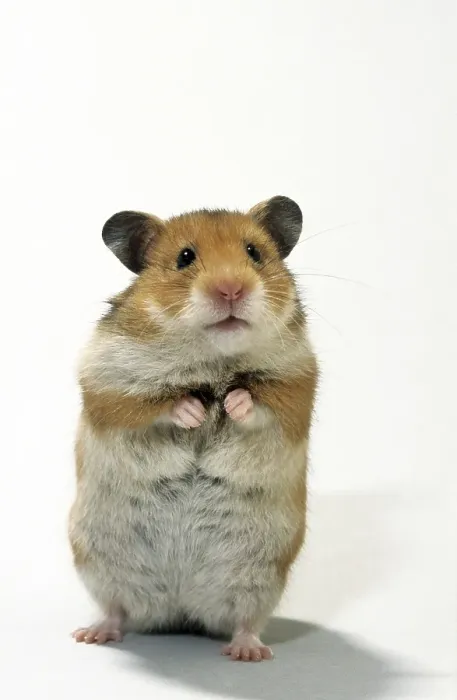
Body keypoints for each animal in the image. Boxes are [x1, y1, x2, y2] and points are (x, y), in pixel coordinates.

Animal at [69, 196, 318, 662]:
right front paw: (194, 413)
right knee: (117, 609)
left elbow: (258, 403)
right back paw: (91, 634)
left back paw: (248, 653)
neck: (212, 359)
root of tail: (180, 611)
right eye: (185, 258)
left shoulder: (297, 386)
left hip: (261, 576)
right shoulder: (108, 385)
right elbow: (153, 404)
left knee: (245, 620)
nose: (231, 290)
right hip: (96, 561)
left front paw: (231, 404)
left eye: (254, 253)